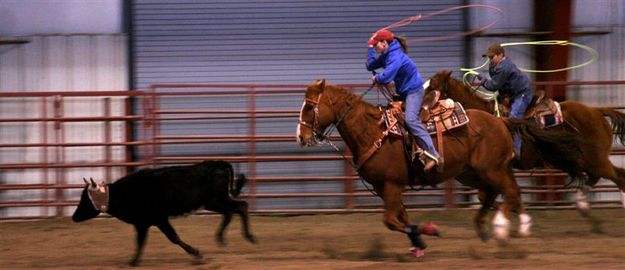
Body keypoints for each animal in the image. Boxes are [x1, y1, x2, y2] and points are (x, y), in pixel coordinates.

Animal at [294, 79, 576, 256]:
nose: (300, 137)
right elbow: (401, 217)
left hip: (491, 169)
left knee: (510, 192)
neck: (373, 130)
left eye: (309, 106)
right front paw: (418, 243)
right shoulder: (386, 189)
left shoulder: (392, 185)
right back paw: (485, 230)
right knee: (495, 193)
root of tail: (501, 121)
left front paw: (429, 231)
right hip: (470, 173)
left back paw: (504, 228)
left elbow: (391, 221)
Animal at [424, 69, 624, 209]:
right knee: (598, 177)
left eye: (433, 88)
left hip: (596, 160)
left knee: (618, 176)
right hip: (583, 161)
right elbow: (485, 195)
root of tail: (597, 111)